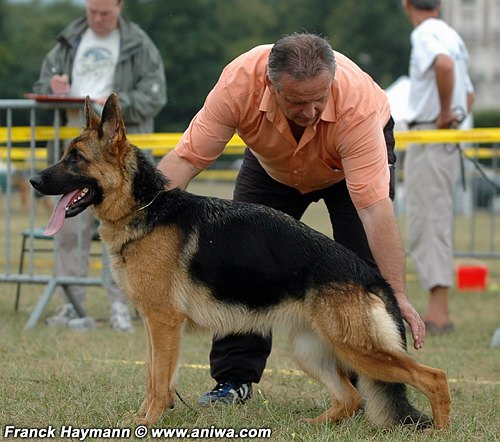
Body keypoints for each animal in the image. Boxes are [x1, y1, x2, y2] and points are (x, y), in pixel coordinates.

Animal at [31, 95, 454, 430]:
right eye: (64, 154)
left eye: (76, 158)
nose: (34, 180)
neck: (146, 207)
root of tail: (372, 276)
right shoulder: (154, 324)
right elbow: (154, 376)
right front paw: (144, 417)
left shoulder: (164, 323)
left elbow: (158, 379)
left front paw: (148, 421)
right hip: (311, 350)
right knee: (350, 397)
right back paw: (312, 426)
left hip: (357, 349)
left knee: (434, 377)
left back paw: (440, 429)